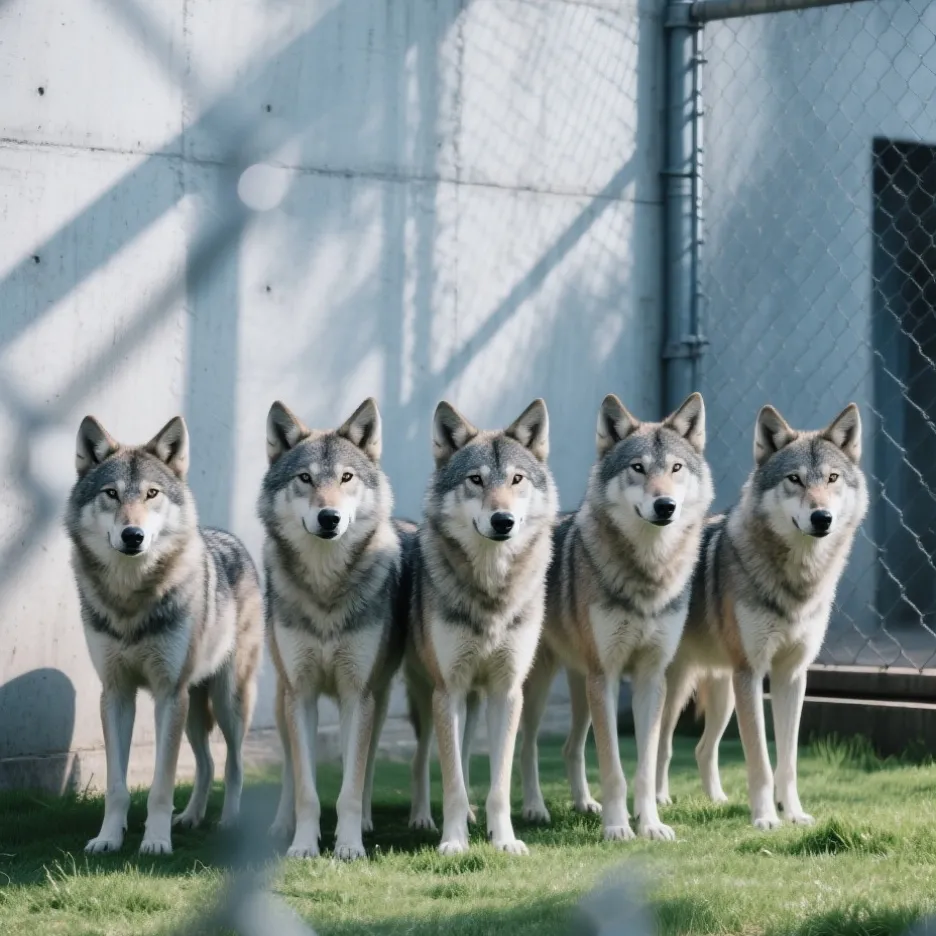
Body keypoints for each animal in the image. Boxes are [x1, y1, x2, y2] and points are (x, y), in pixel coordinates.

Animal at [65, 415, 263, 856]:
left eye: (151, 493)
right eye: (111, 493)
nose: (133, 535)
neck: (130, 600)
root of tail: (231, 539)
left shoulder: (168, 693)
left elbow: (161, 783)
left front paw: (155, 841)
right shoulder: (117, 693)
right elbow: (117, 786)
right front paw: (108, 838)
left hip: (226, 701)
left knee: (235, 764)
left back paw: (230, 822)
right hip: (193, 707)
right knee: (207, 765)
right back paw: (190, 818)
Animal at [259, 398, 411, 861]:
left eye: (346, 477)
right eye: (305, 478)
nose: (329, 518)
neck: (326, 589)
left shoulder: (355, 695)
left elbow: (350, 784)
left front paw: (348, 846)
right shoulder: (302, 693)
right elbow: (307, 789)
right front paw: (303, 845)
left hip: (377, 702)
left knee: (365, 765)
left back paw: (363, 822)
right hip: (282, 701)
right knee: (289, 771)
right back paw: (280, 825)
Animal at [405, 399, 558, 855]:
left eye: (516, 479)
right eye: (476, 479)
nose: (502, 520)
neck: (491, 592)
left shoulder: (506, 692)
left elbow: (498, 783)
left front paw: (503, 839)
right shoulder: (448, 690)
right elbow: (452, 782)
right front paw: (454, 842)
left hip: (479, 702)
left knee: (469, 751)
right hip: (426, 699)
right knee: (423, 758)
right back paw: (421, 818)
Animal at [519, 393, 712, 842]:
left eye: (676, 468)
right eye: (637, 467)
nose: (665, 505)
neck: (648, 573)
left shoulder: (650, 679)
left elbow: (644, 765)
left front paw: (651, 824)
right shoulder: (606, 676)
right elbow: (614, 768)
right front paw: (618, 827)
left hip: (582, 686)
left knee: (570, 747)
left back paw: (583, 803)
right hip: (540, 687)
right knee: (526, 747)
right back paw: (535, 808)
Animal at [655, 403, 868, 830]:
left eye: (832, 478)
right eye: (794, 479)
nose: (822, 517)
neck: (798, 582)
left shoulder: (791, 676)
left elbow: (788, 762)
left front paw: (795, 814)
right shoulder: (752, 674)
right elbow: (761, 761)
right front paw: (766, 818)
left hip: (723, 695)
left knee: (702, 748)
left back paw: (716, 800)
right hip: (676, 689)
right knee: (660, 747)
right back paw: (658, 800)